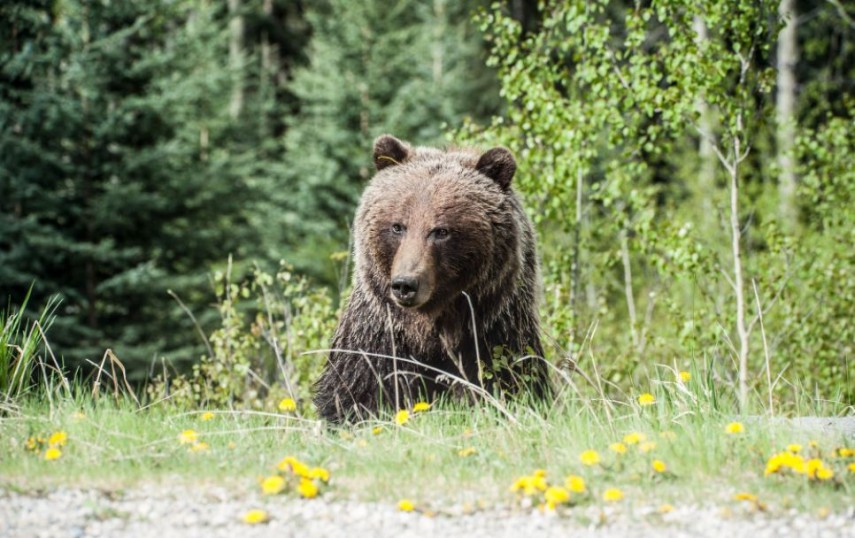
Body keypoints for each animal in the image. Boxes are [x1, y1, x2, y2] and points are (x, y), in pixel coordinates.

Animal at [314, 135, 548, 422]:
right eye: (397, 226)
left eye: (441, 231)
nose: (405, 284)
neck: (430, 329)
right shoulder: (377, 339)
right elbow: (355, 394)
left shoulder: (494, 334)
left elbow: (510, 383)